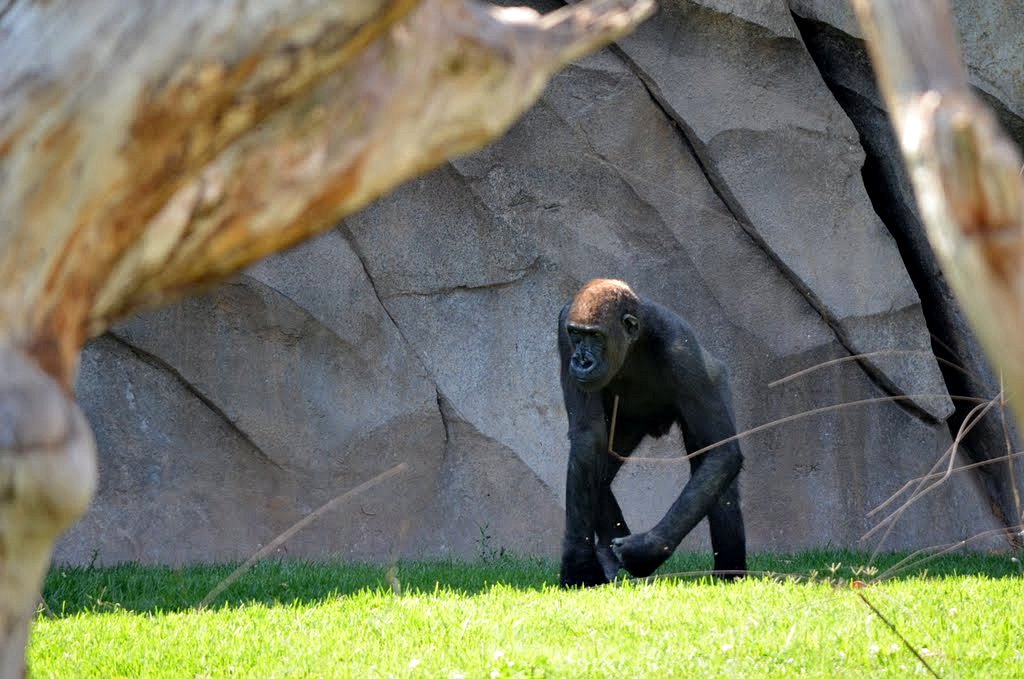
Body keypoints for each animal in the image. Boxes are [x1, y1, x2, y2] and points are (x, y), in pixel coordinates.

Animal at [557, 278, 749, 585]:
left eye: (595, 336)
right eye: (576, 335)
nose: (581, 361)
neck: (635, 337)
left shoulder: (681, 349)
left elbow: (720, 452)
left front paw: (647, 551)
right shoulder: (564, 332)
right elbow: (588, 441)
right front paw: (581, 564)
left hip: (716, 379)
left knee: (718, 474)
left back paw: (729, 573)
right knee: (599, 472)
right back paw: (608, 549)